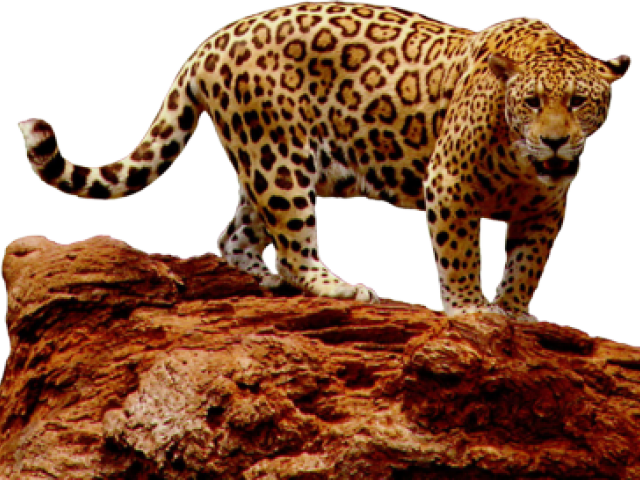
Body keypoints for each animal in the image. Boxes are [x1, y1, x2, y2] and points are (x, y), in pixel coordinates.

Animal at [17, 2, 630, 321]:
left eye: (579, 101)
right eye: (532, 102)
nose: (555, 142)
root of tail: (212, 40)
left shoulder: (545, 210)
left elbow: (527, 265)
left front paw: (515, 312)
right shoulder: (449, 185)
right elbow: (459, 254)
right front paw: (469, 310)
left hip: (264, 159)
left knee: (234, 234)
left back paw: (262, 280)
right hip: (280, 157)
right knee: (294, 244)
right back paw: (338, 287)